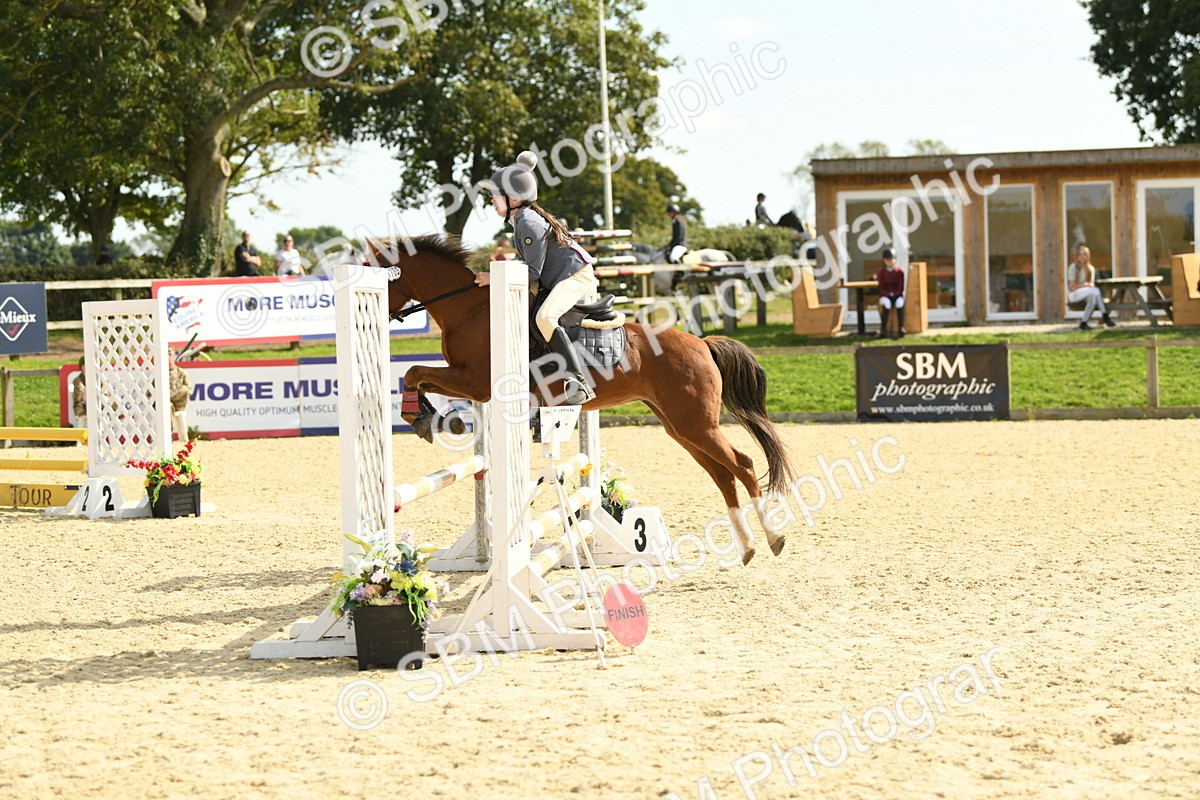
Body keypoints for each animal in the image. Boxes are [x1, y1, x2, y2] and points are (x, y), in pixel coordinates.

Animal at [382, 235, 795, 564]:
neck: (470, 309)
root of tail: (703, 343)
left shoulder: (475, 383)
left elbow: (414, 371)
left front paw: (423, 416)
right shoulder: (469, 383)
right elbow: (418, 375)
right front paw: (425, 415)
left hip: (696, 425)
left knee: (742, 465)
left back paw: (774, 539)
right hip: (681, 427)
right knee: (724, 475)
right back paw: (747, 547)